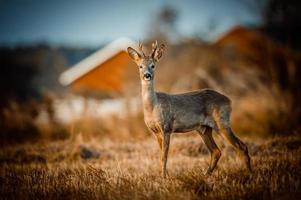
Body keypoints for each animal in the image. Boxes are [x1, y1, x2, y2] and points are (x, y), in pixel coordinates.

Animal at [126, 41, 251, 177]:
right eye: (140, 66)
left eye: (153, 66)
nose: (147, 75)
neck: (153, 107)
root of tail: (229, 100)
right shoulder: (155, 132)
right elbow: (160, 156)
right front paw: (164, 176)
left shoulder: (167, 128)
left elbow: (165, 156)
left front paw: (164, 178)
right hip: (204, 129)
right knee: (216, 151)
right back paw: (206, 175)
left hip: (222, 122)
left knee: (241, 146)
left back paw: (249, 175)